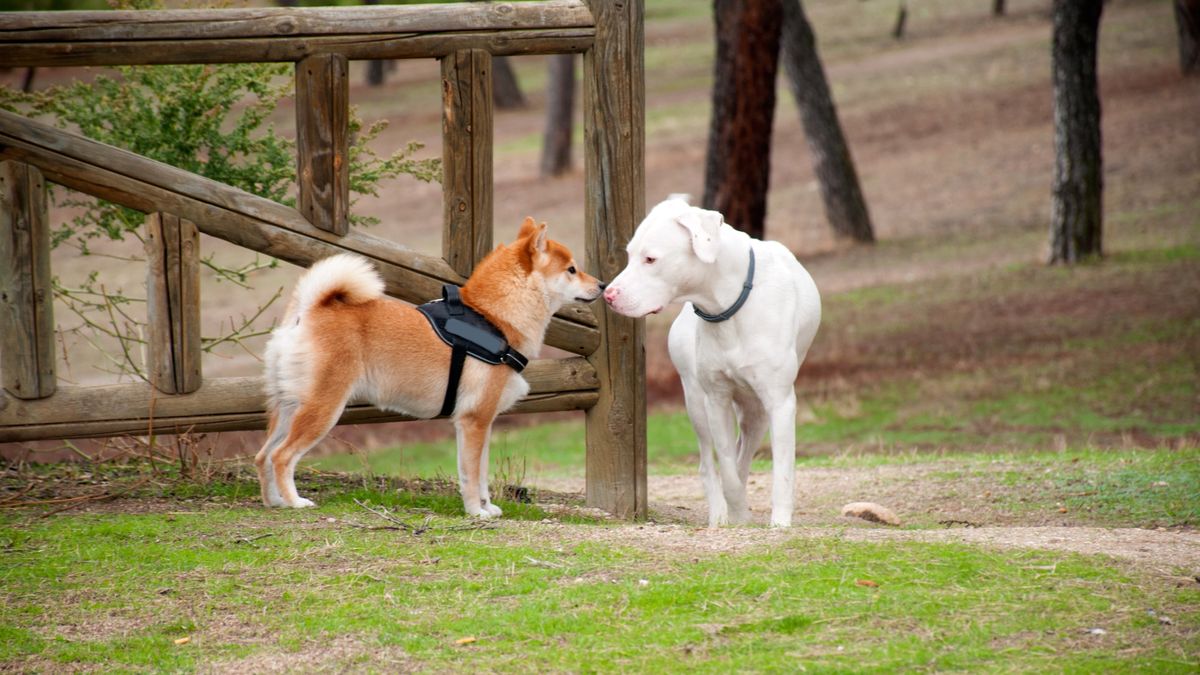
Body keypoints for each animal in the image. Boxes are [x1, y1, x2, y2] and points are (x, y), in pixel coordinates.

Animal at [256, 218, 604, 516]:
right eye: (572, 269)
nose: (601, 285)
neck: (494, 318)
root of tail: (308, 311)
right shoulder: (473, 421)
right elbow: (470, 475)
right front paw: (475, 512)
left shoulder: (482, 423)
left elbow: (479, 473)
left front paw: (487, 507)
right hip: (323, 409)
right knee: (281, 456)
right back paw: (295, 501)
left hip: (289, 408)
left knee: (264, 455)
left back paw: (274, 501)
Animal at [604, 194, 820, 526]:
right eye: (628, 256)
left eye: (650, 259)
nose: (608, 295)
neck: (728, 304)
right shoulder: (716, 400)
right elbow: (727, 470)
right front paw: (737, 514)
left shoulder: (780, 402)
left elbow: (781, 470)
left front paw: (780, 522)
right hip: (696, 403)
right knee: (710, 464)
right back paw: (720, 515)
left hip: (756, 413)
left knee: (745, 454)